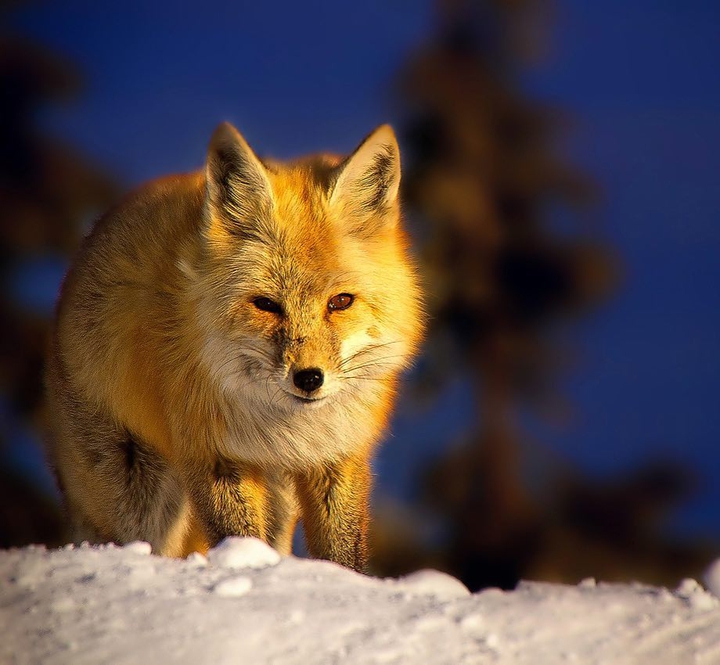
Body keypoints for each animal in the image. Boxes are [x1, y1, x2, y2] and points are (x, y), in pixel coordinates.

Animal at [44, 121, 423, 572]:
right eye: (266, 305)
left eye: (341, 302)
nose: (309, 378)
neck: (287, 429)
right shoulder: (215, 457)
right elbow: (239, 538)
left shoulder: (337, 457)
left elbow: (344, 555)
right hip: (138, 494)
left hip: (276, 500)